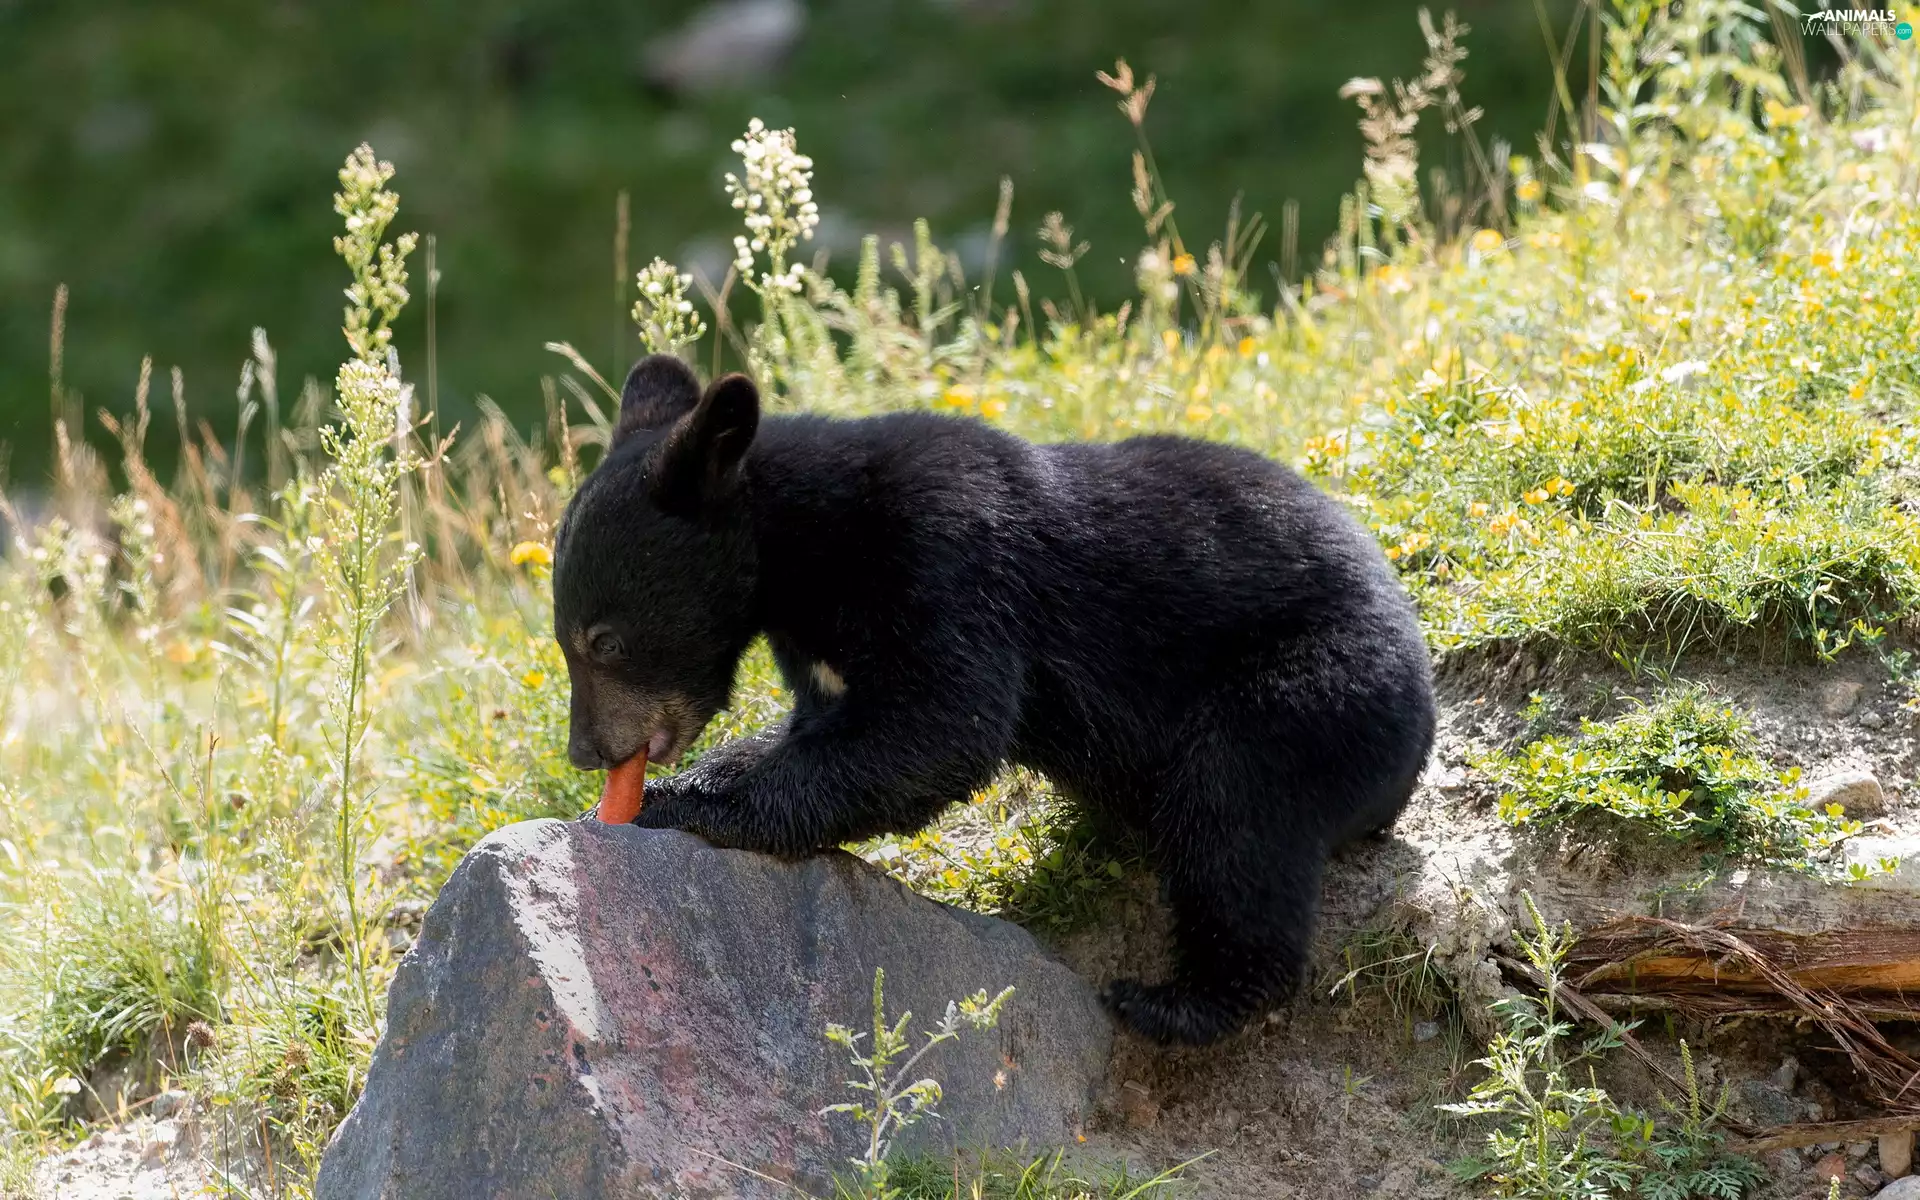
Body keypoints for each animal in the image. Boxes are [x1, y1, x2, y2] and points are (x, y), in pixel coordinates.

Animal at [552, 353, 1436, 1046]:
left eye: (602, 640)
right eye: (567, 637)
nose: (586, 752)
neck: (807, 549)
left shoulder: (944, 557)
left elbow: (940, 723)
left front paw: (678, 802)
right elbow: (831, 724)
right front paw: (698, 779)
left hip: (1310, 689)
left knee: (1238, 817)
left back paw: (1173, 1002)